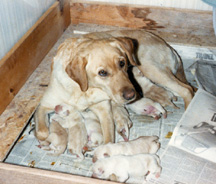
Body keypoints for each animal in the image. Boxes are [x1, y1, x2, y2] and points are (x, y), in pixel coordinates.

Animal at [34, 29, 194, 145]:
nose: (132, 95)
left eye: (122, 63)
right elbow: (42, 132)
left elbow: (108, 139)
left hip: (151, 68)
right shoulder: (43, 106)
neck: (82, 90)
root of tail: (168, 46)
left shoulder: (105, 111)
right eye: (102, 72)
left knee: (187, 90)